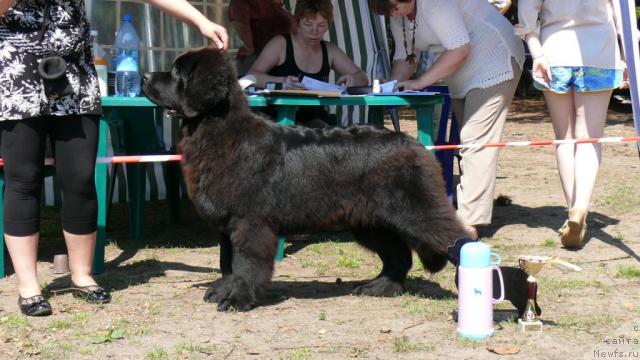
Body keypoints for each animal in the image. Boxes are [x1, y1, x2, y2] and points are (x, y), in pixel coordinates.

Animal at [141, 47, 520, 312]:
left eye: (176, 72)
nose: (144, 76)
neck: (217, 129)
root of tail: (412, 143)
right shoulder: (226, 224)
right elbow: (226, 262)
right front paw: (223, 289)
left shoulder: (250, 222)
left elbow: (245, 263)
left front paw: (239, 299)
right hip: (370, 222)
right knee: (399, 255)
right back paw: (379, 288)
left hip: (415, 210)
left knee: (455, 236)